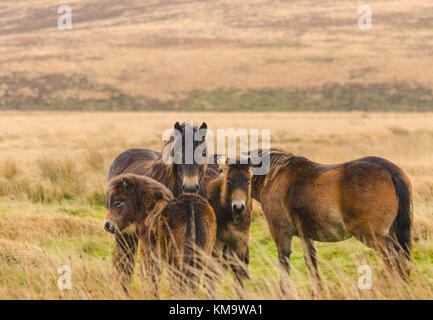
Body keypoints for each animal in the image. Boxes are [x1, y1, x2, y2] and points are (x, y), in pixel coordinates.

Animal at [204, 157, 251, 298]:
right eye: (229, 182)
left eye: (248, 182)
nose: (238, 207)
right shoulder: (217, 244)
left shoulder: (240, 244)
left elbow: (238, 273)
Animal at [250, 149, 412, 294]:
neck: (274, 176)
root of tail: (390, 172)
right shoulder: (305, 236)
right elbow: (311, 263)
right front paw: (318, 292)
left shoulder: (280, 233)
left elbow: (284, 262)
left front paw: (284, 293)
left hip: (370, 234)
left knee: (393, 254)